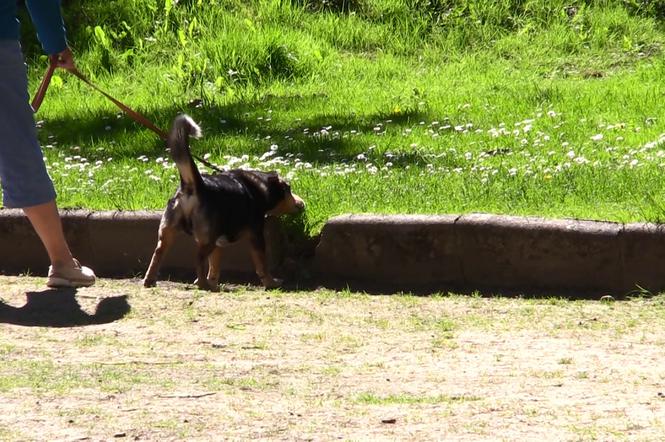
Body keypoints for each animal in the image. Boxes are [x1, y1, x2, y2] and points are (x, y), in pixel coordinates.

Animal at [144, 115, 304, 290]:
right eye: (288, 189)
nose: (302, 203)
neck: (259, 186)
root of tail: (194, 185)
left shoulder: (218, 243)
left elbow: (214, 266)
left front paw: (213, 282)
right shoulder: (256, 236)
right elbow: (262, 264)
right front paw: (270, 282)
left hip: (168, 234)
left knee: (157, 254)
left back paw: (150, 280)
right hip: (206, 240)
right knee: (199, 259)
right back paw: (202, 284)